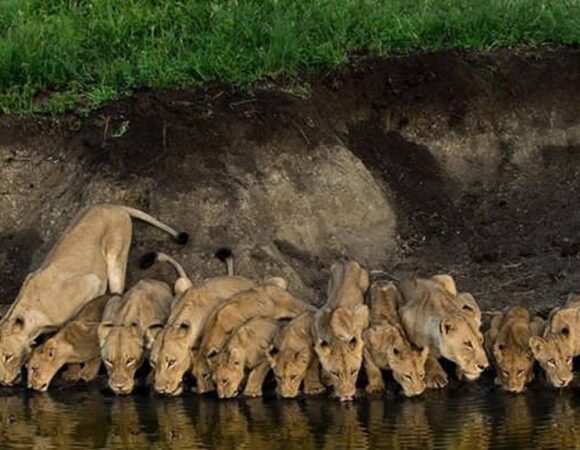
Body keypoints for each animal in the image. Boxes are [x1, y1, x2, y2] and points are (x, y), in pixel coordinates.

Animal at [310, 260, 370, 400]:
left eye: (354, 371)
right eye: (335, 374)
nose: (347, 396)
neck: (337, 337)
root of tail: (346, 261)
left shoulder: (363, 310)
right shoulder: (316, 321)